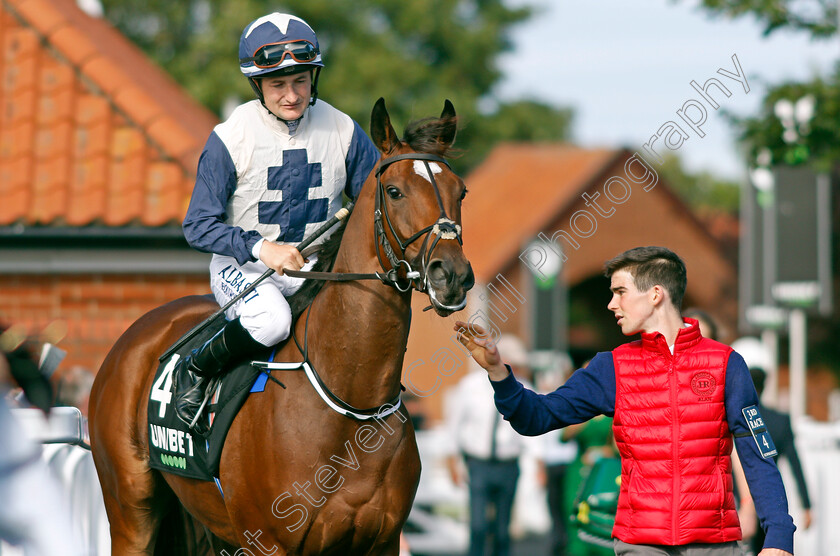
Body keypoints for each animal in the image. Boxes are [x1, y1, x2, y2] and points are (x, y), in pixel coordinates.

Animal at [89, 97, 476, 552]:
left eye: (461, 191)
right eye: (395, 191)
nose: (451, 276)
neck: (351, 404)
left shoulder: (383, 542)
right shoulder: (269, 542)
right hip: (131, 513)